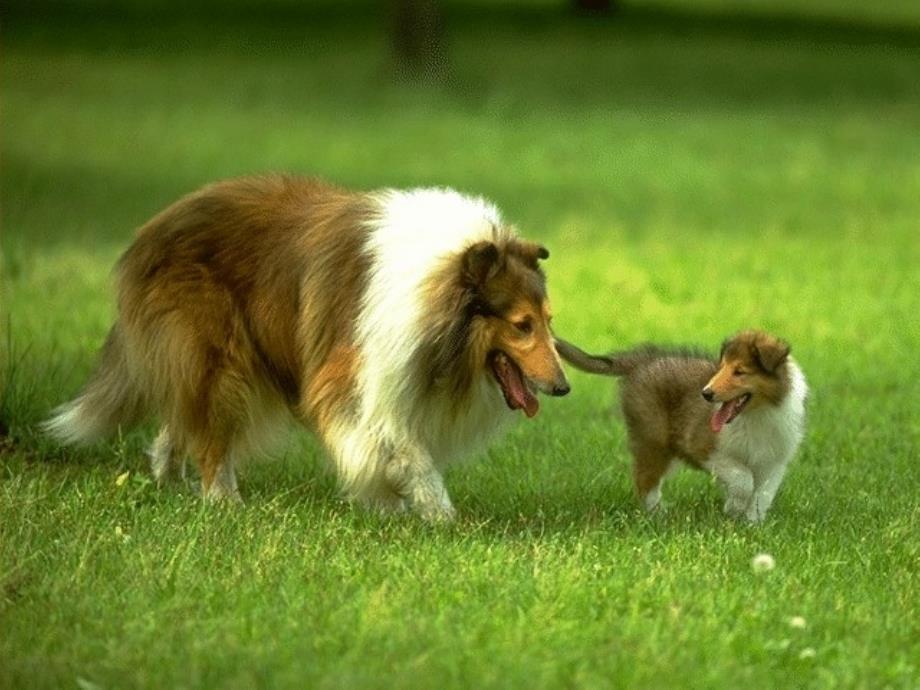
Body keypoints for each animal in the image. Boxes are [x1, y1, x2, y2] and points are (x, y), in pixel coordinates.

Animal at [48, 175, 576, 520]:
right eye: (522, 325)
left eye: (548, 322)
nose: (563, 388)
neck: (434, 298)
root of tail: (148, 233)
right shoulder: (354, 378)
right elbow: (400, 446)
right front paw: (434, 514)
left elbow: (402, 443)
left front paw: (400, 506)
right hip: (218, 356)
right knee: (210, 430)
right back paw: (223, 501)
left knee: (184, 419)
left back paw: (170, 481)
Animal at [552, 330, 804, 520]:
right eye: (721, 367)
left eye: (739, 371)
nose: (706, 393)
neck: (757, 414)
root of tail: (642, 360)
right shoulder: (703, 447)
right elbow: (743, 479)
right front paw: (734, 508)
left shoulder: (774, 462)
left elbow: (762, 494)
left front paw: (751, 524)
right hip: (653, 440)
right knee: (645, 480)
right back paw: (658, 516)